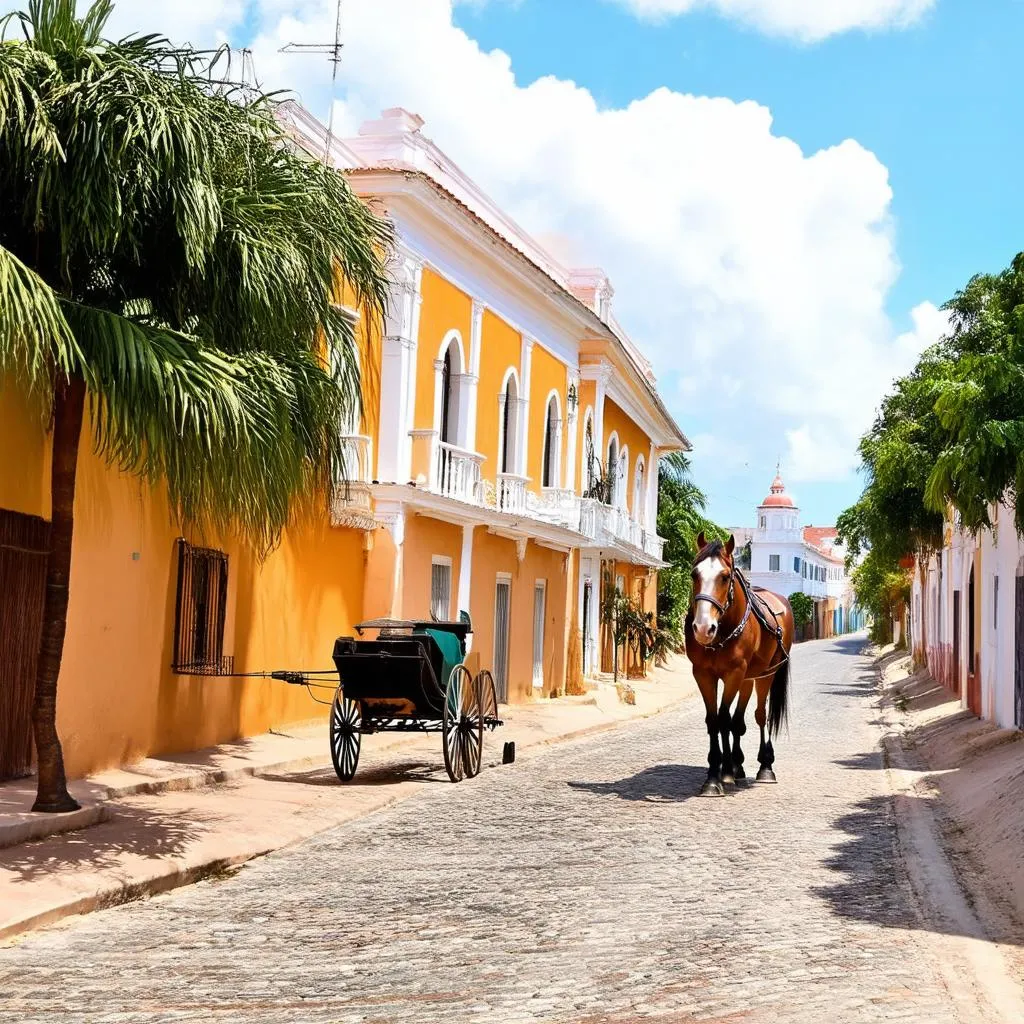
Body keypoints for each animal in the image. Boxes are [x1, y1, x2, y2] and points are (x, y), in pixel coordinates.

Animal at [684, 532, 794, 794]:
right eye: (694, 574)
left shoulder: (734, 673)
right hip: (747, 678)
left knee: (760, 715)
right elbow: (715, 720)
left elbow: (725, 718)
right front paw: (716, 774)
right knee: (738, 720)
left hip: (765, 675)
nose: (703, 628)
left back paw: (765, 766)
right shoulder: (703, 674)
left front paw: (721, 774)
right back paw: (737, 766)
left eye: (725, 577)